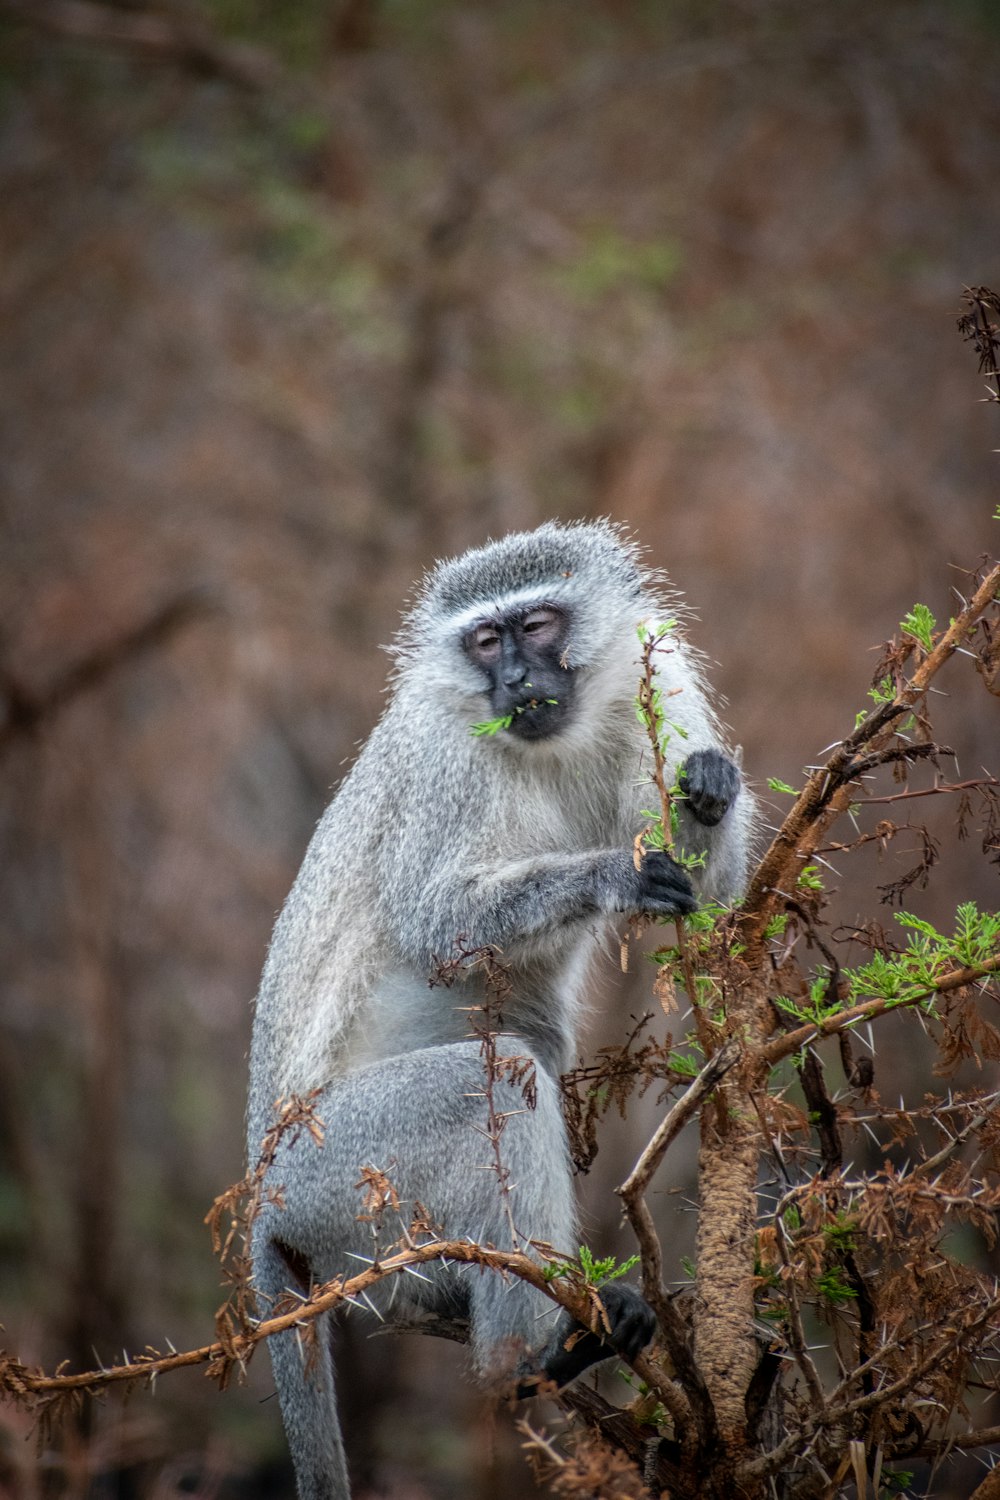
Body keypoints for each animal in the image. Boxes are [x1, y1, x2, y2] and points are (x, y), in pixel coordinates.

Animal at [248, 522, 749, 1494]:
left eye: (538, 623)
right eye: (486, 641)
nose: (515, 679)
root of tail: (258, 1208)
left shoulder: (657, 672)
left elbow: (717, 902)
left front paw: (711, 787)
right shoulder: (446, 761)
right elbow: (437, 919)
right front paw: (616, 873)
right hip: (327, 1173)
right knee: (505, 1074)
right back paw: (533, 1351)